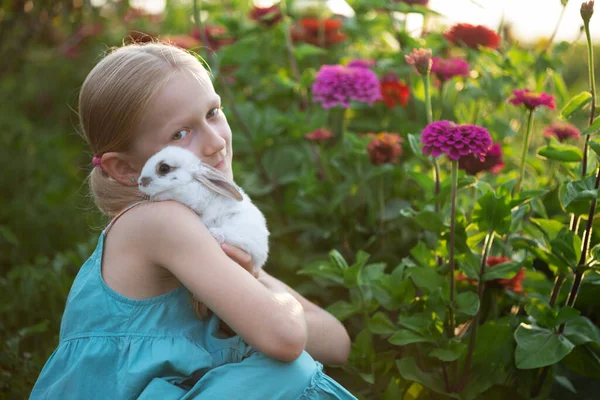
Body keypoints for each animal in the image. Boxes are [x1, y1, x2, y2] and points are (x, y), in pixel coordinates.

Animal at [138, 147, 270, 272]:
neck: (191, 181)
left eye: (164, 168)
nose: (140, 182)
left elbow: (174, 192)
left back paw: (215, 234)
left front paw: (157, 197)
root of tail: (260, 258)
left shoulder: (193, 195)